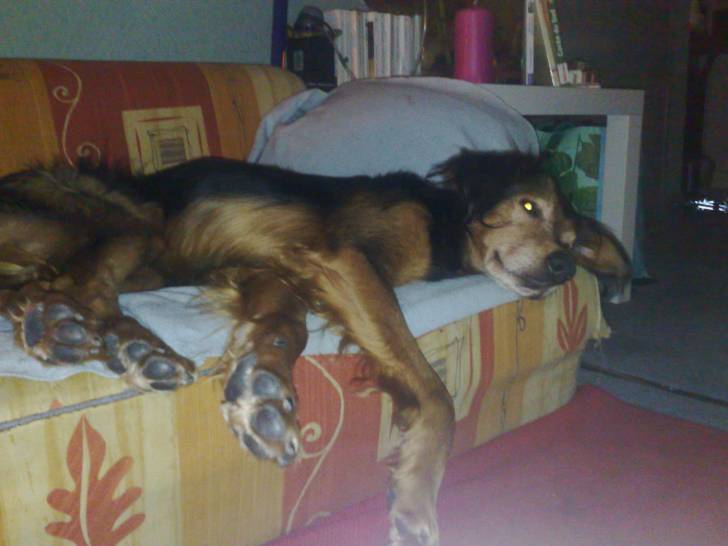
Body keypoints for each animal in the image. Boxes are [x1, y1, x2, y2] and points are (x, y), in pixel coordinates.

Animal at [0, 151, 630, 546]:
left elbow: (287, 328)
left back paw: (124, 345)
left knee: (48, 292)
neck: (445, 226)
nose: (563, 265)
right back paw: (82, 332)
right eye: (528, 207)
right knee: (73, 286)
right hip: (125, 220)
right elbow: (435, 393)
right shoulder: (342, 258)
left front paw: (264, 389)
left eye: (571, 238)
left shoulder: (273, 269)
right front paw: (416, 499)